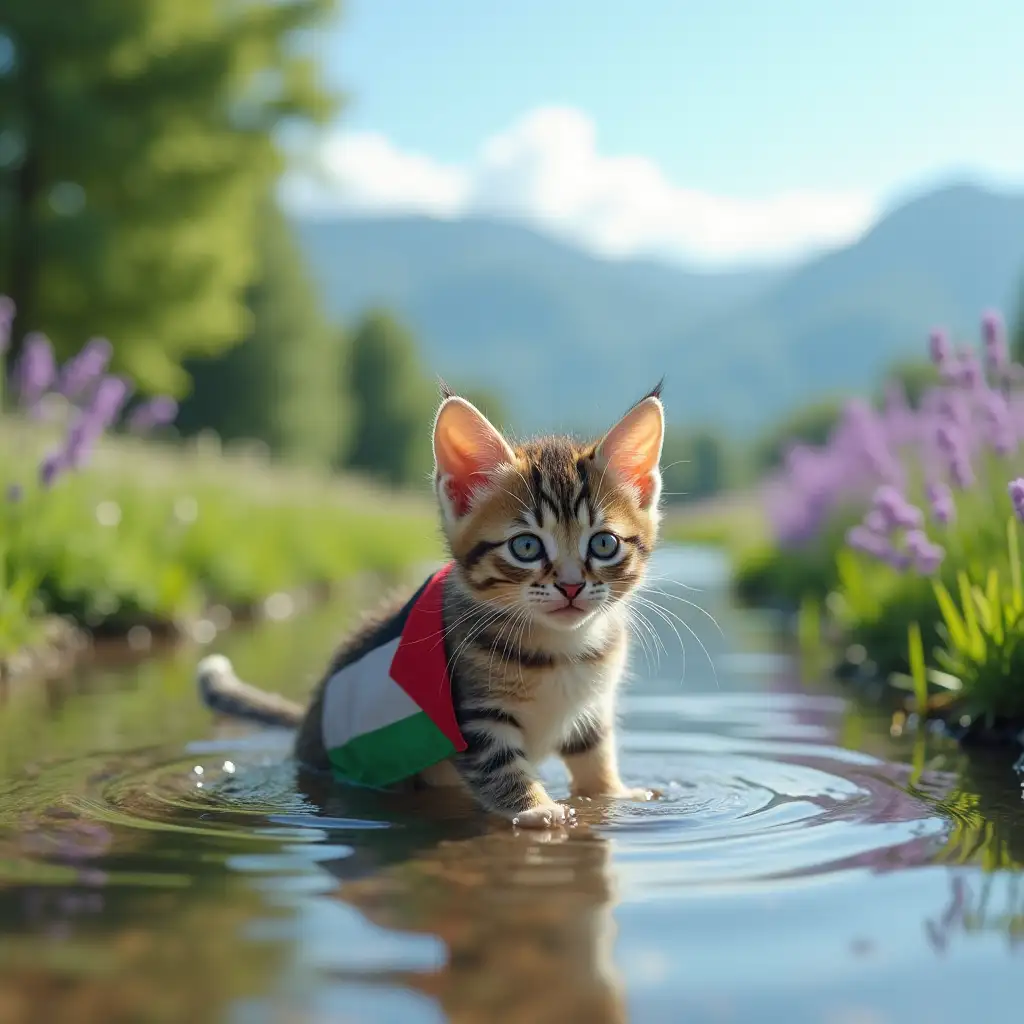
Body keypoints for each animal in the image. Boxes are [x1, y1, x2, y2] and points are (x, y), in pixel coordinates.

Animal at [198, 387, 663, 827]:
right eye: (526, 547)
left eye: (603, 544)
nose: (570, 586)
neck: (561, 649)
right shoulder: (468, 717)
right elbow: (500, 767)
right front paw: (536, 809)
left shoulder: (592, 707)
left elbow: (594, 749)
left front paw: (611, 793)